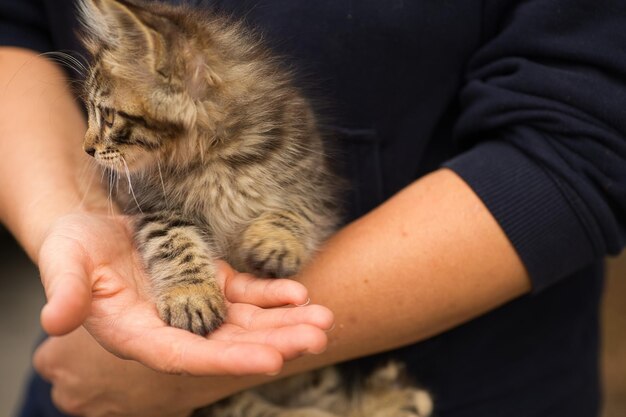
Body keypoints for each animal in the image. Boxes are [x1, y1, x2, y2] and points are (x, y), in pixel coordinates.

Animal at [78, 0, 432, 414]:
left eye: (108, 115)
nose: (87, 148)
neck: (216, 159)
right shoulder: (150, 207)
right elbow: (175, 242)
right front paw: (191, 294)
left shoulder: (316, 184)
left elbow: (295, 209)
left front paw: (274, 242)